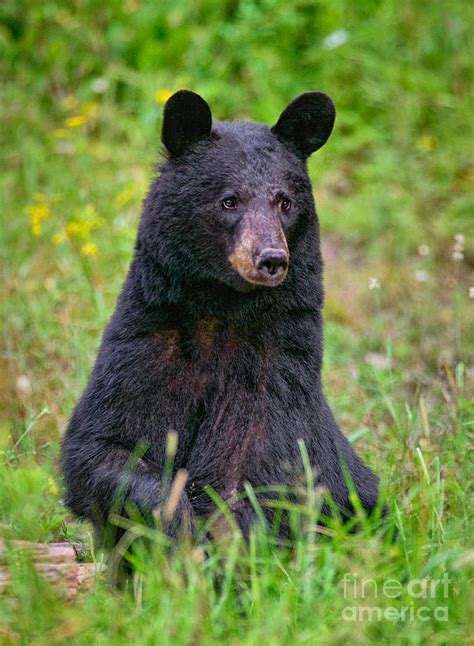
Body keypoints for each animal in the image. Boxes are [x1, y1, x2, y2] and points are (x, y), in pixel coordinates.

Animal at [62, 91, 382, 548]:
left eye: (285, 202)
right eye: (230, 200)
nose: (271, 258)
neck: (222, 309)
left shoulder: (273, 370)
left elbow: (244, 474)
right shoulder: (147, 344)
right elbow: (106, 446)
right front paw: (174, 525)